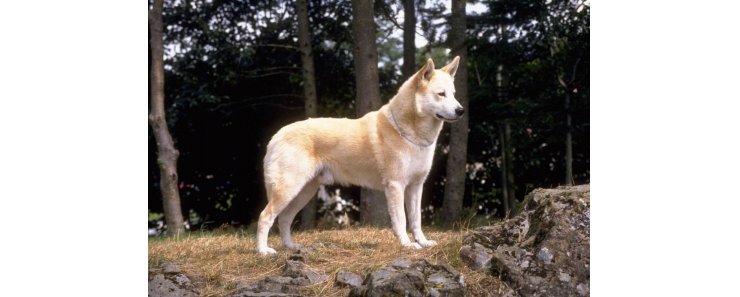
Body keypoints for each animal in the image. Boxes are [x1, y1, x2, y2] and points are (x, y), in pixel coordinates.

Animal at [256, 56, 462, 254]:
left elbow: (416, 219)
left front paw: (423, 242)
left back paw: (290, 247)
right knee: (265, 216)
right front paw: (407, 244)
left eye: (453, 94)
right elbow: (402, 220)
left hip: (304, 191)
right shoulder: (396, 185)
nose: (461, 110)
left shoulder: (416, 187)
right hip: (289, 189)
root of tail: (276, 136)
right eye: (441, 94)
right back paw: (263, 251)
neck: (405, 132)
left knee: (284, 218)